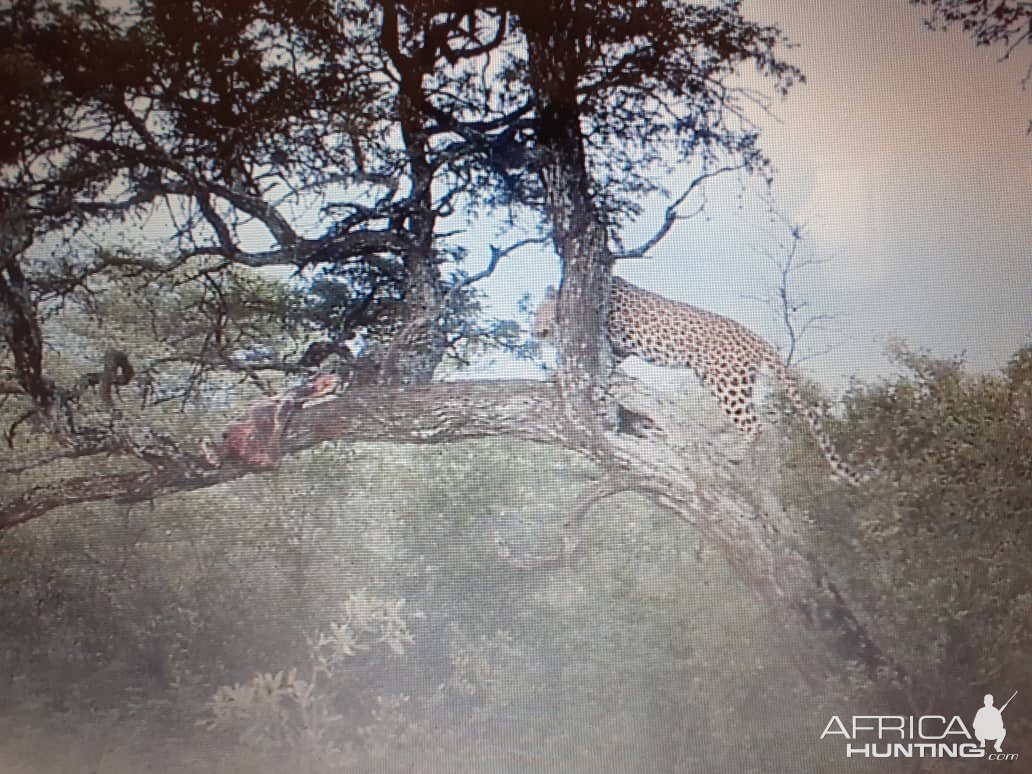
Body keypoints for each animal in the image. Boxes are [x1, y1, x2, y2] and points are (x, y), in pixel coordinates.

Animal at [536, 276, 866, 487]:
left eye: (541, 314)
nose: (537, 331)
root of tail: (757, 339)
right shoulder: (620, 347)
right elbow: (608, 364)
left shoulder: (609, 332)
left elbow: (600, 361)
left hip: (726, 383)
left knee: (756, 425)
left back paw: (734, 456)